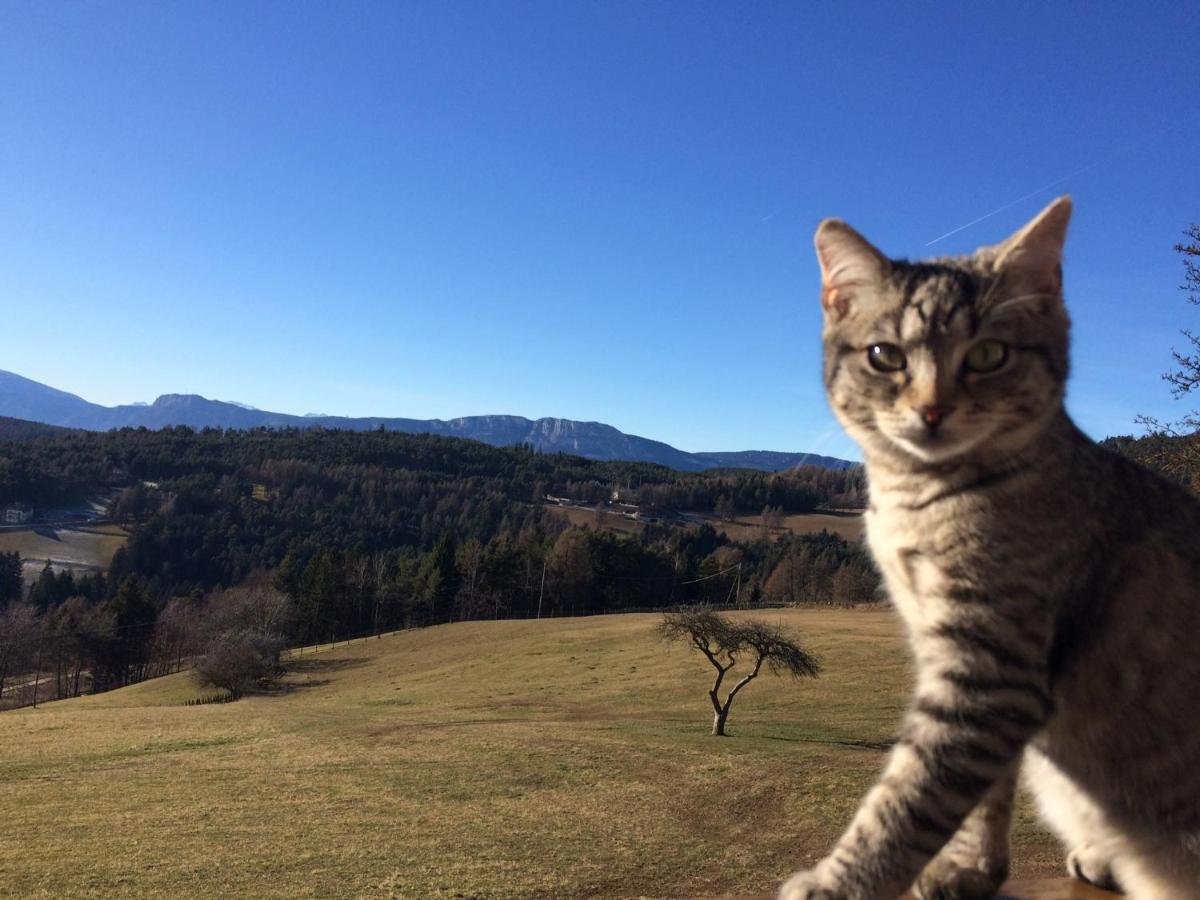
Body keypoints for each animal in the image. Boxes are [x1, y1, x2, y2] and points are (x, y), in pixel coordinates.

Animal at [772, 199, 1200, 900]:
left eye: (989, 354)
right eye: (885, 356)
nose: (932, 410)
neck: (917, 497)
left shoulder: (990, 672)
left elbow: (907, 800)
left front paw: (840, 885)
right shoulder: (951, 652)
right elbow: (981, 797)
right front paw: (970, 869)